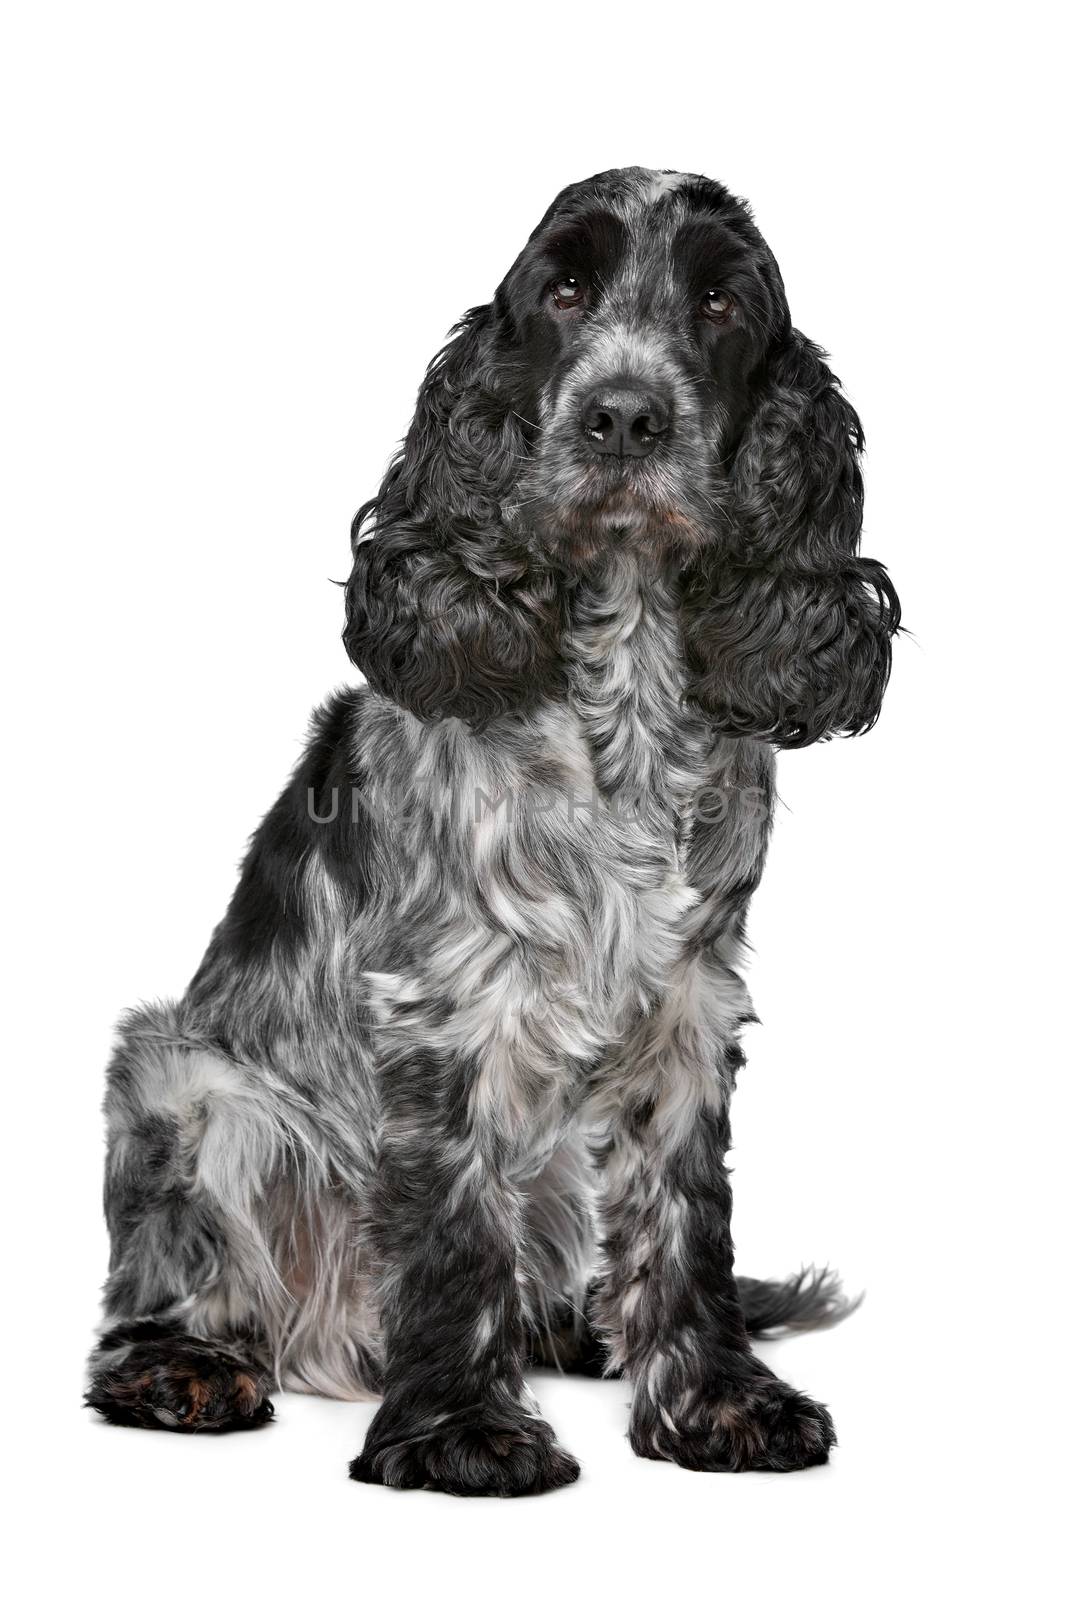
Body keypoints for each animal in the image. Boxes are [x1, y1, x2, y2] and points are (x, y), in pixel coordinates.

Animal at [85, 168, 902, 1491]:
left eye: (719, 303)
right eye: (562, 290)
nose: (622, 417)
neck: (625, 693)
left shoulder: (691, 998)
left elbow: (687, 1221)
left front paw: (716, 1401)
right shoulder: (449, 1001)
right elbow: (455, 1225)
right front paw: (460, 1429)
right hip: (183, 1080)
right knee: (157, 1292)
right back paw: (188, 1367)